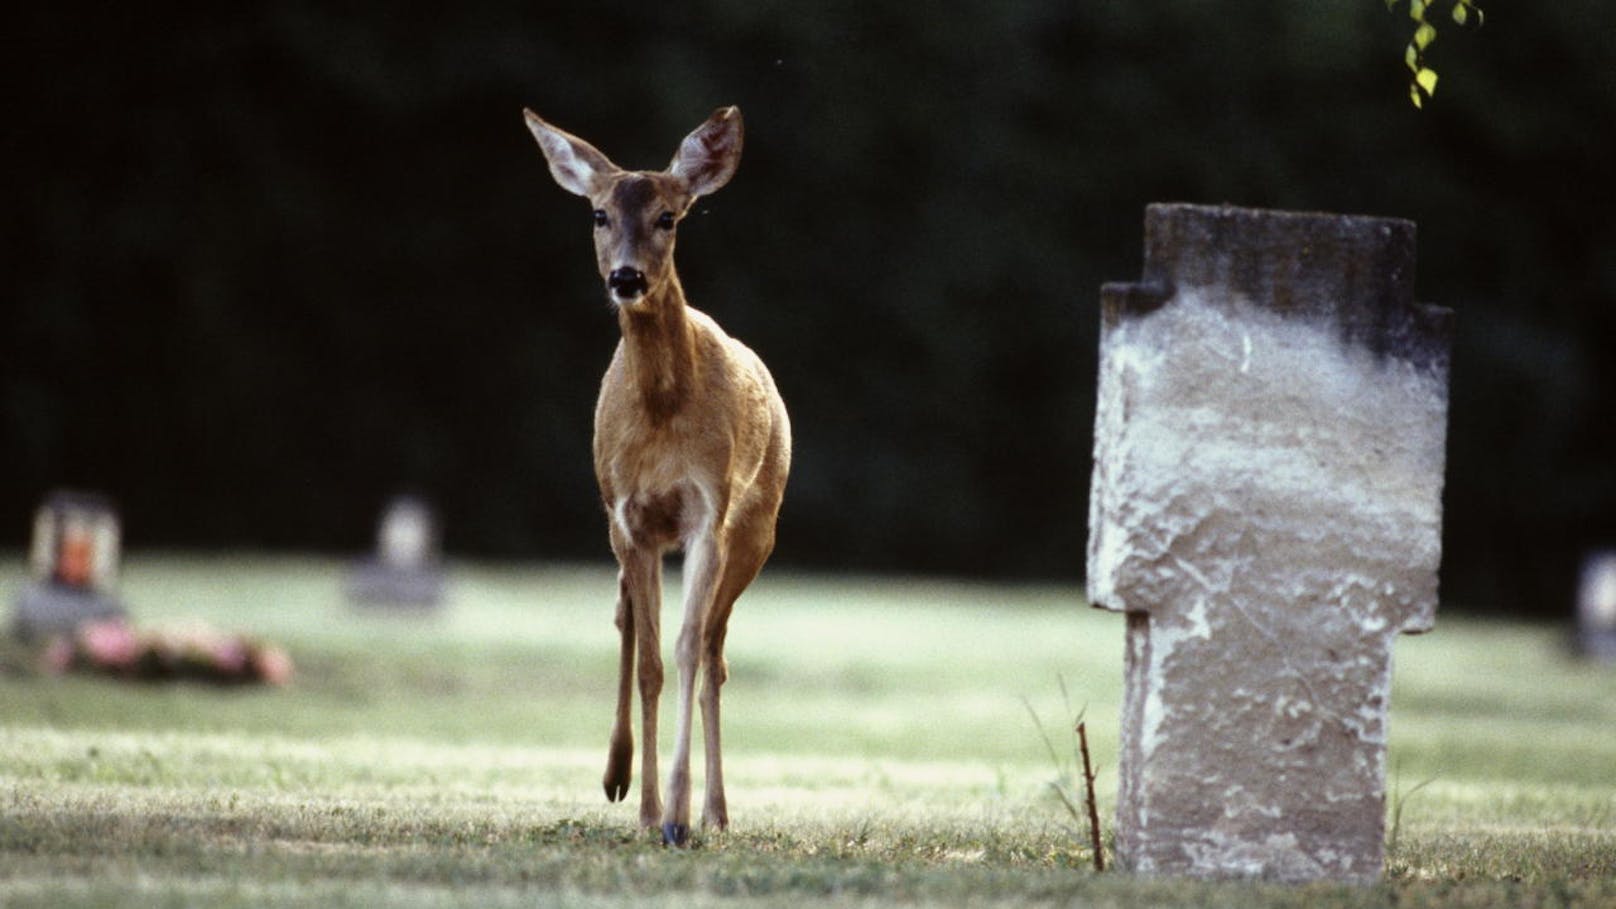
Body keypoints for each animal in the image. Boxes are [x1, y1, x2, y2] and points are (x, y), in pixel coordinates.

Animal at [520, 107, 791, 847]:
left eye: (669, 217)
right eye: (599, 214)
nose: (626, 278)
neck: (665, 417)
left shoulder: (708, 514)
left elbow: (688, 647)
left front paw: (676, 813)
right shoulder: (627, 517)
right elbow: (647, 660)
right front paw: (642, 806)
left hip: (758, 529)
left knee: (717, 653)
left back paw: (715, 810)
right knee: (625, 617)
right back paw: (617, 775)